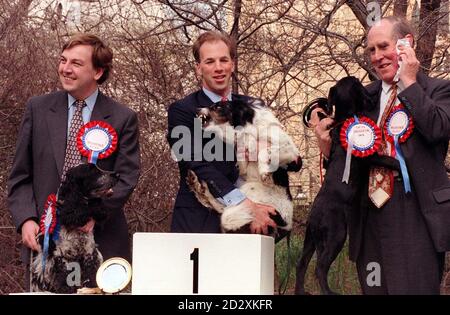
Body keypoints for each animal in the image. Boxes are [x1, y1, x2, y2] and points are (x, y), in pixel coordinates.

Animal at [32, 164, 119, 296]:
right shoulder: (60, 255)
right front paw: (66, 289)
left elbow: (91, 273)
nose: (117, 174)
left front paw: (92, 287)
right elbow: (63, 273)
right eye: (92, 171)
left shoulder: (89, 251)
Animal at [188, 100, 300, 241]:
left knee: (225, 209)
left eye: (217, 107)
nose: (196, 110)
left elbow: (265, 151)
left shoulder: (290, 151)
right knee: (222, 206)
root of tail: (285, 226)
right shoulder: (243, 159)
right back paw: (196, 184)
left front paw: (265, 171)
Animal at [296, 76, 400, 296]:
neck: (347, 116)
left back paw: (301, 291)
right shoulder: (371, 157)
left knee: (301, 264)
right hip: (336, 234)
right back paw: (329, 292)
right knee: (320, 267)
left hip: (310, 239)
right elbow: (388, 159)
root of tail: (314, 215)